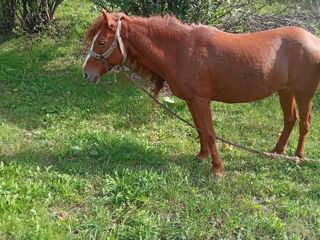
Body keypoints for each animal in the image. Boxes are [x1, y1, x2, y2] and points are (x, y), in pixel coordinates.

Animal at [83, 10, 320, 176]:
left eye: (101, 42)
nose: (87, 74)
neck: (181, 50)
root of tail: (313, 39)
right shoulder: (191, 100)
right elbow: (200, 130)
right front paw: (201, 156)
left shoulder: (201, 100)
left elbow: (210, 132)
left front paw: (217, 169)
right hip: (285, 91)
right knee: (290, 120)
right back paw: (277, 152)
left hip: (304, 94)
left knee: (304, 123)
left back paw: (298, 157)